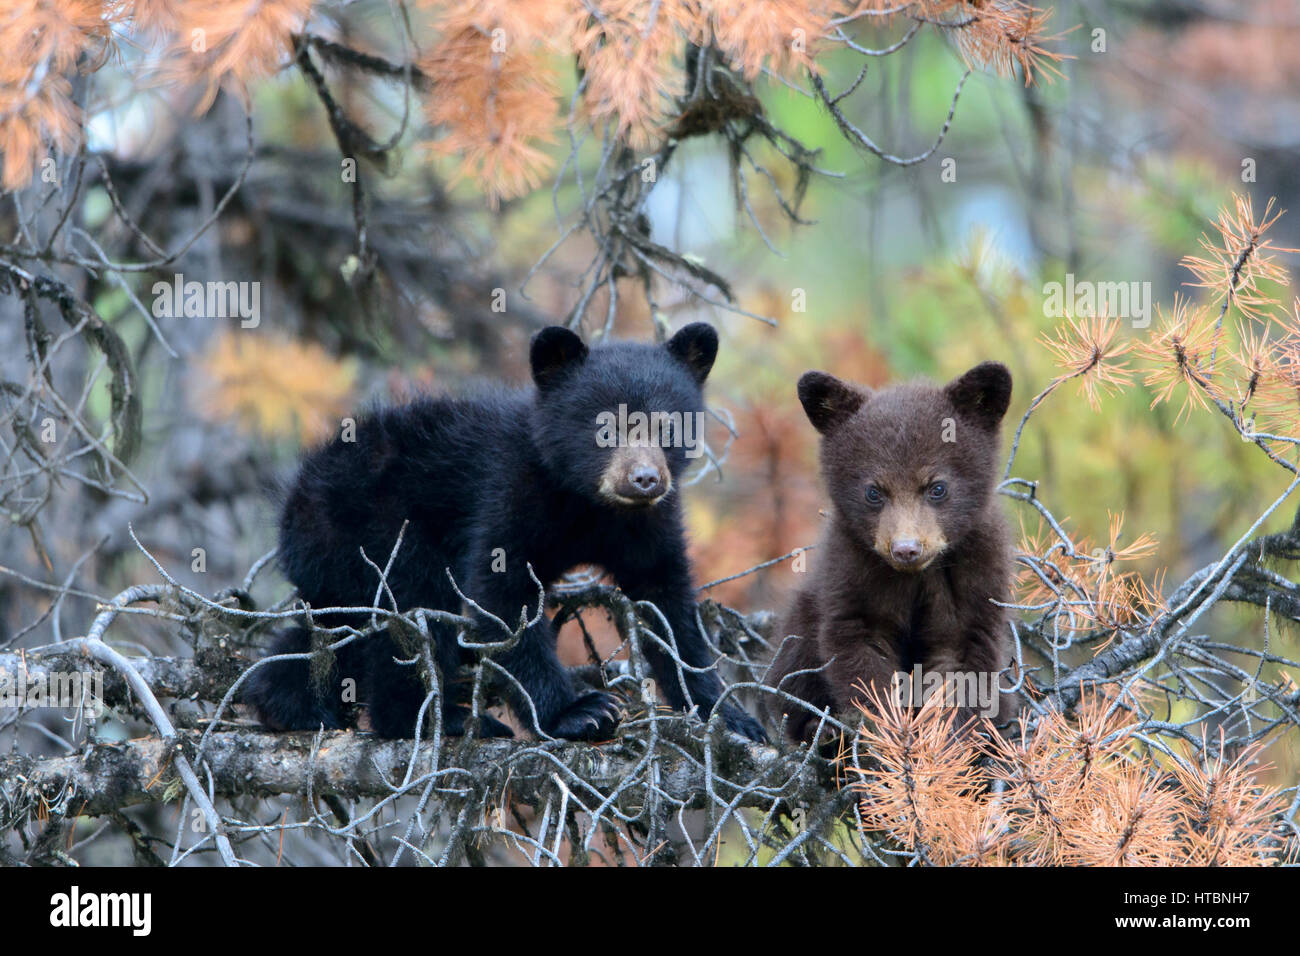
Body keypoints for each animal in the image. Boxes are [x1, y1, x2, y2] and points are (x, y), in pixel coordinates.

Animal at [242, 322, 767, 743]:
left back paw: (289, 704)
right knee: (411, 614)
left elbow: (668, 604)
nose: (645, 479)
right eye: (605, 427)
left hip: (337, 563)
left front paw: (727, 713)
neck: (584, 501)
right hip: (374, 529)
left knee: (333, 632)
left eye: (668, 425)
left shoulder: (646, 525)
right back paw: (435, 719)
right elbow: (501, 593)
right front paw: (579, 713)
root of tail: (292, 505)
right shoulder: (508, 491)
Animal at [767, 361, 1016, 745]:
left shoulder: (976, 575)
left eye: (937, 487)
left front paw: (943, 742)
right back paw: (821, 731)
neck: (916, 577)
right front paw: (888, 735)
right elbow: (862, 655)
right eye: (874, 492)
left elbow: (961, 663)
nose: (906, 549)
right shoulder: (852, 571)